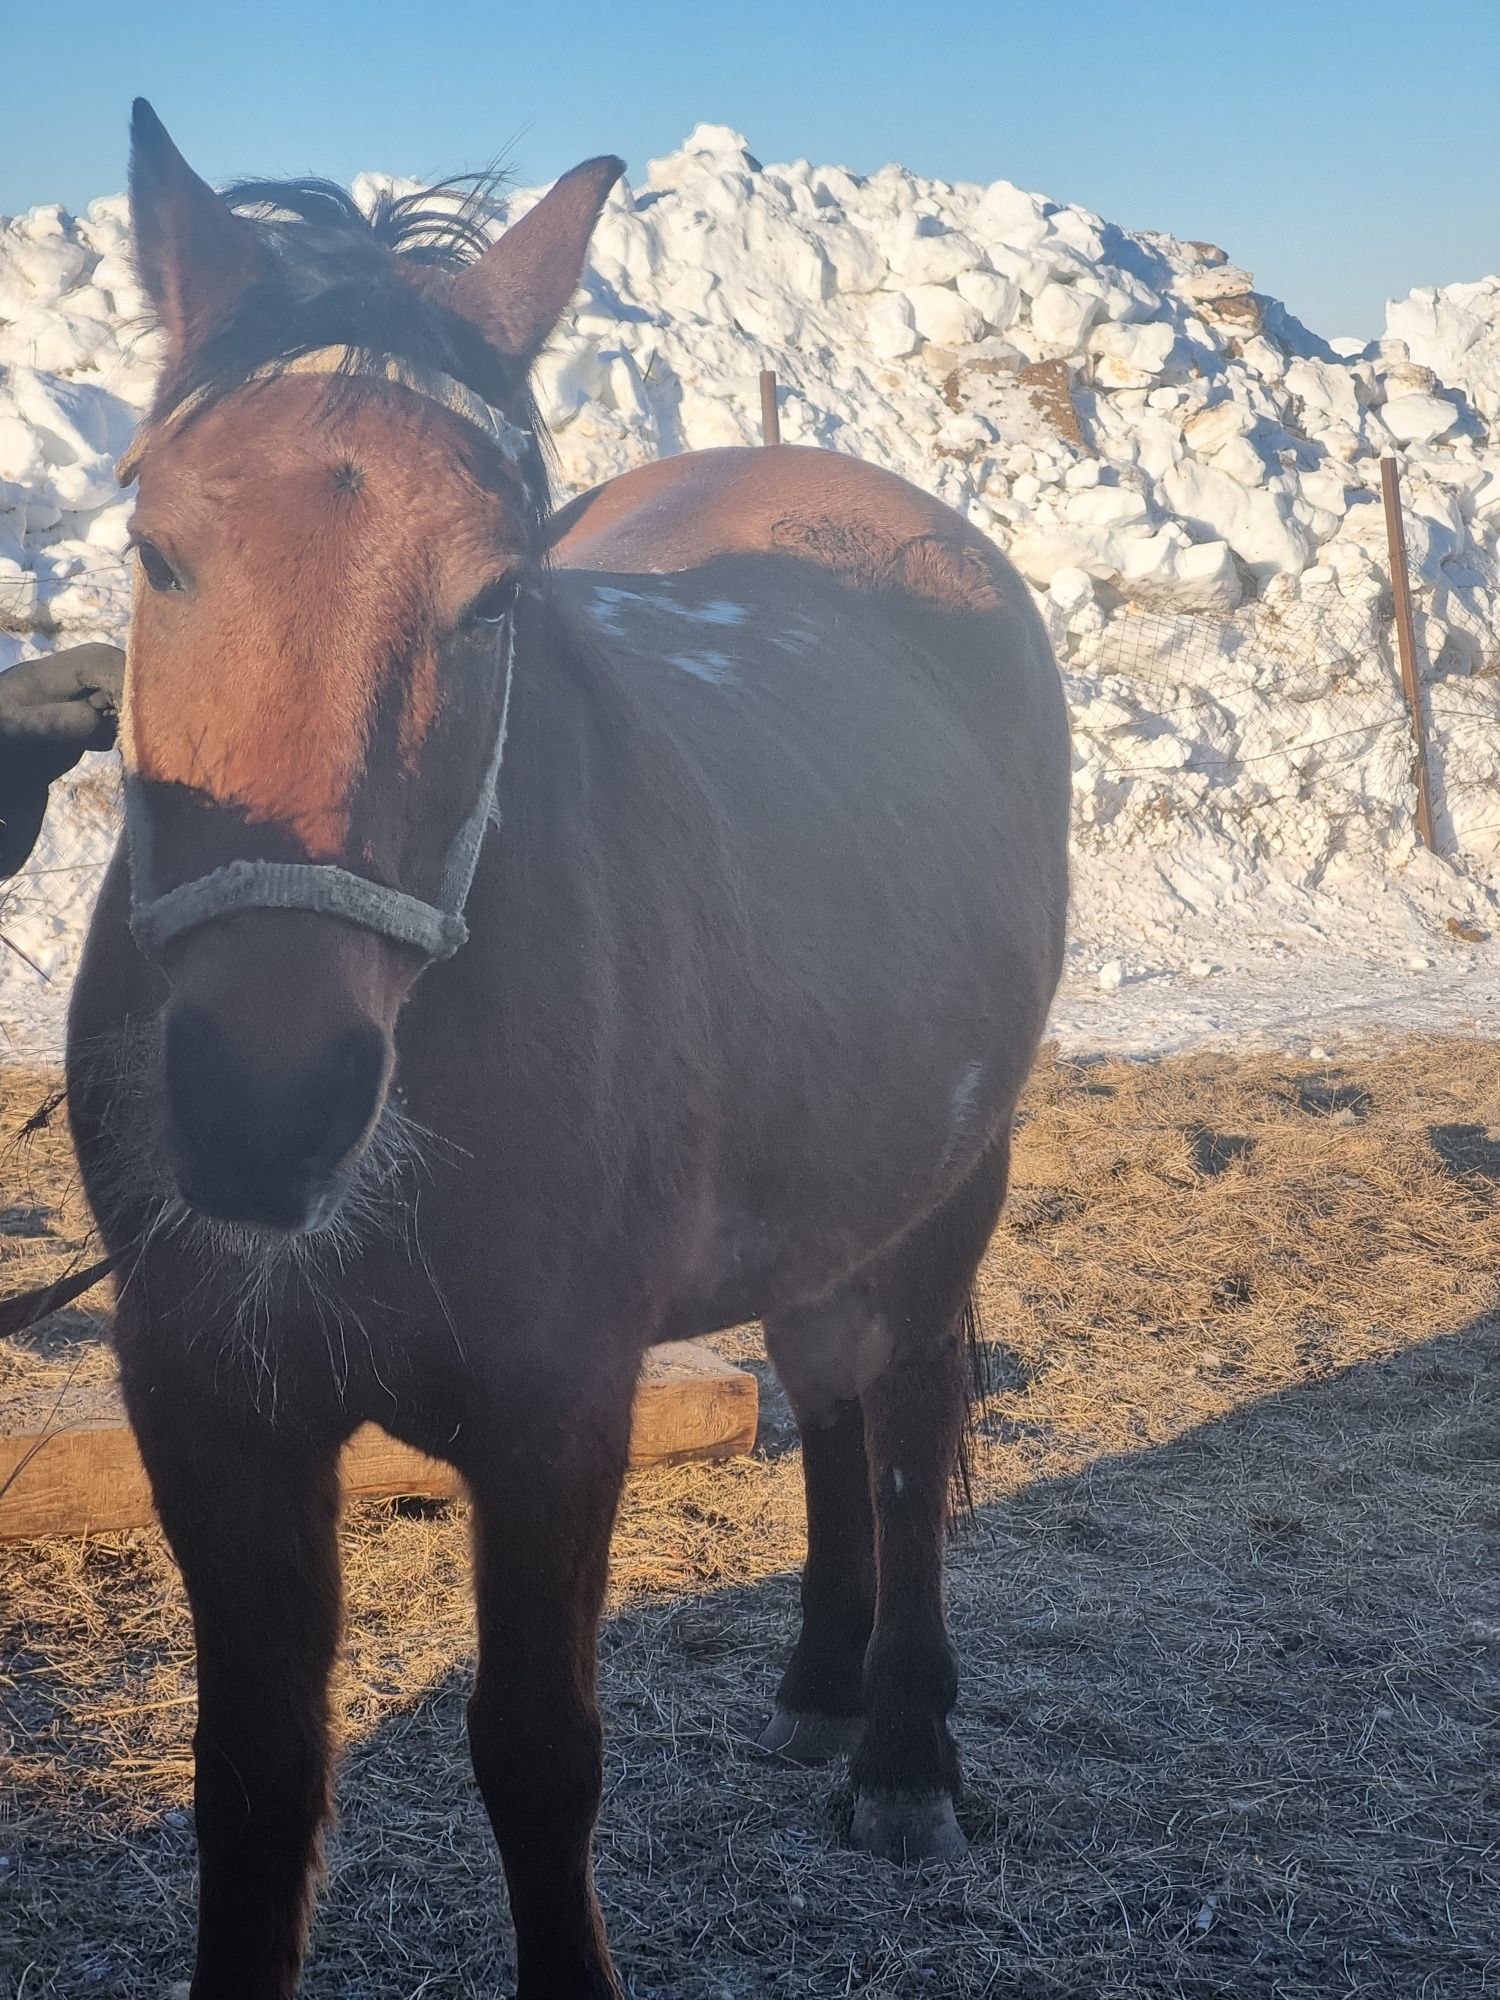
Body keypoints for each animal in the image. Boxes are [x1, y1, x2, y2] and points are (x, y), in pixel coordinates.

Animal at [70, 105, 1072, 2000]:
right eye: (159, 550)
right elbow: (253, 1787)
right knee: (829, 1382)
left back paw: (903, 1747)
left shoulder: (553, 1417)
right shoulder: (211, 1409)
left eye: (492, 599)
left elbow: (537, 1757)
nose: (265, 1107)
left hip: (942, 1184)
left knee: (904, 1414)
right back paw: (823, 1683)